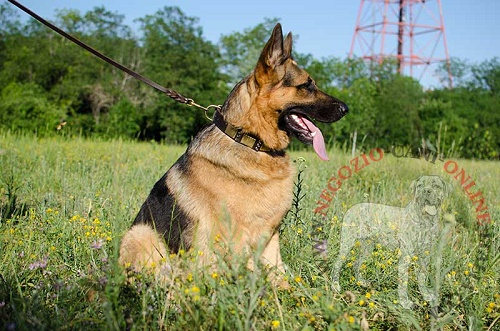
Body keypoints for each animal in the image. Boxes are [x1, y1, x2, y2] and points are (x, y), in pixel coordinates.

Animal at [120, 24, 348, 286]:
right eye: (306, 85)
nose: (346, 109)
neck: (250, 141)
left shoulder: (269, 239)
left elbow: (280, 277)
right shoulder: (238, 238)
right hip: (142, 232)